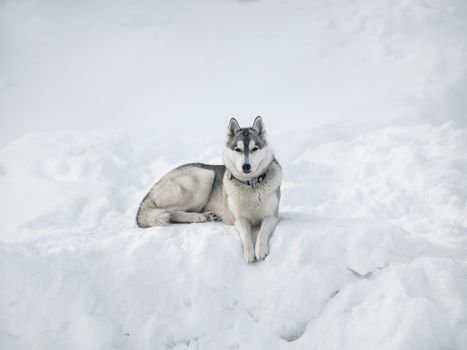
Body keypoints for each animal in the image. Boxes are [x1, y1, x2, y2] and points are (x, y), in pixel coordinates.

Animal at [135, 117, 282, 262]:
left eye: (254, 148)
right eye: (238, 149)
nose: (246, 166)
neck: (250, 185)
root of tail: (153, 188)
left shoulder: (271, 216)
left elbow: (262, 232)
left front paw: (260, 249)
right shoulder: (239, 219)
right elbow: (246, 235)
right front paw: (249, 253)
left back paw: (210, 215)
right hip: (204, 177)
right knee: (168, 211)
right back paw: (196, 217)